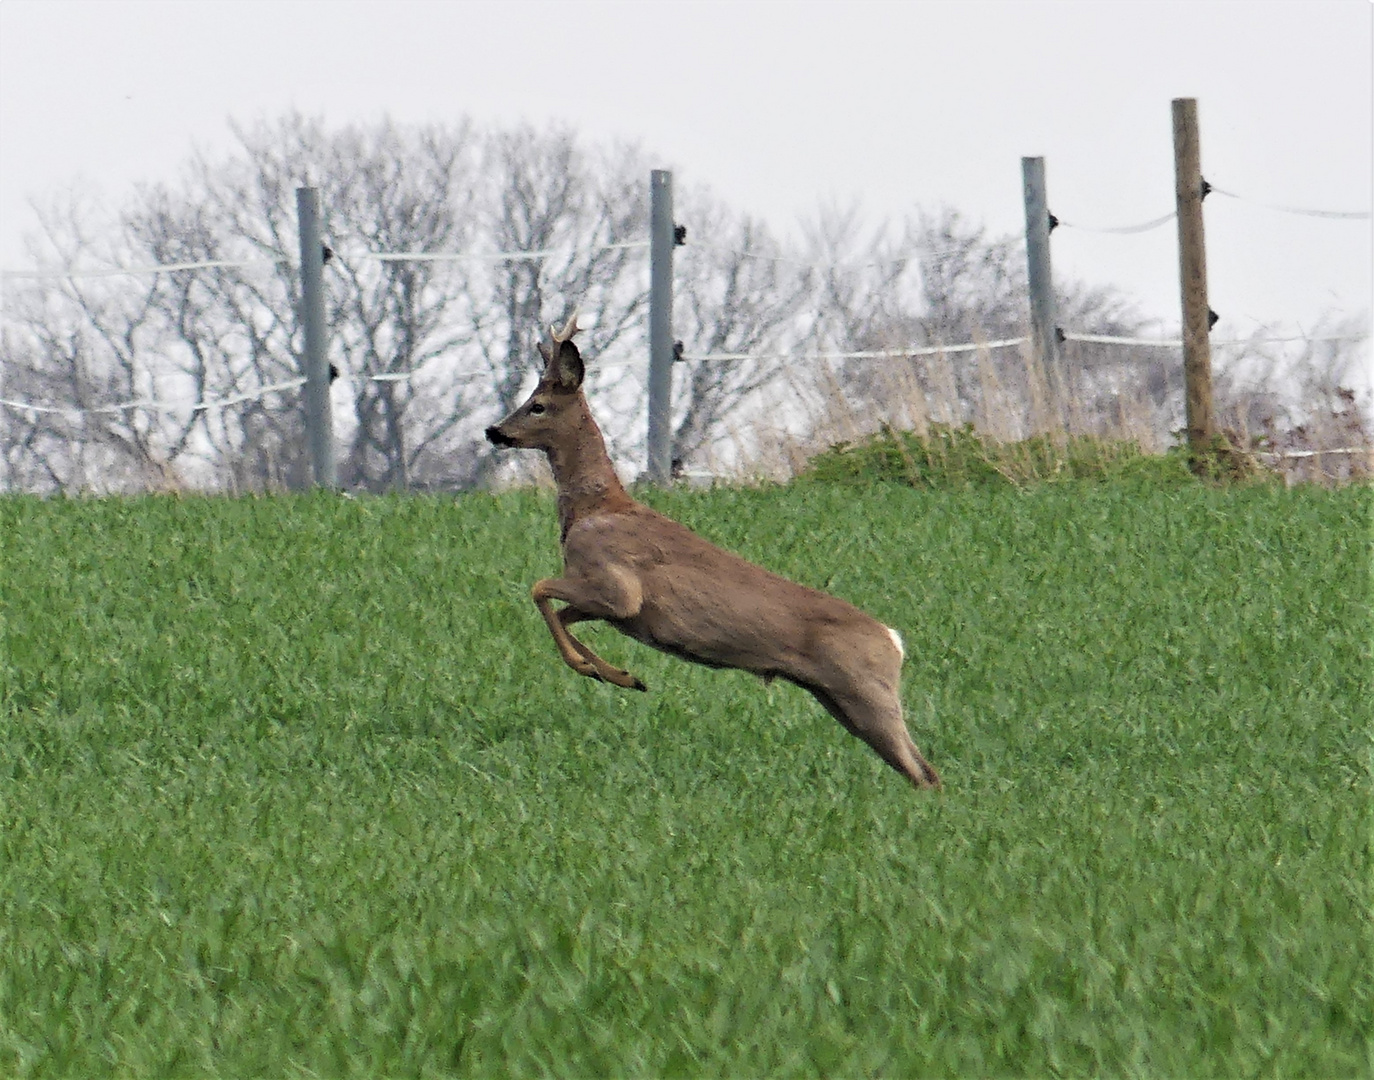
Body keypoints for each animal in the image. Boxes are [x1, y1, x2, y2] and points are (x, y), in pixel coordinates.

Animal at [483, 316, 945, 785]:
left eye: (538, 405)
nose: (494, 431)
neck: (595, 509)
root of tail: (894, 641)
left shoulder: (617, 587)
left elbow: (539, 589)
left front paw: (597, 670)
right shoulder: (610, 604)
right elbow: (561, 614)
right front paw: (620, 675)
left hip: (865, 693)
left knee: (923, 771)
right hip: (837, 698)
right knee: (923, 770)